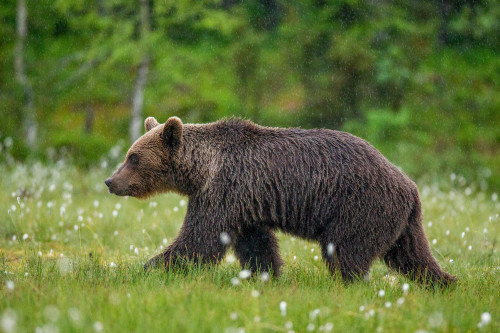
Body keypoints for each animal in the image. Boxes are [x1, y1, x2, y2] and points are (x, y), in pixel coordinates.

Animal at [106, 115, 458, 284]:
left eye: (133, 157)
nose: (111, 181)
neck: (202, 170)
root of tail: (410, 185)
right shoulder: (244, 203)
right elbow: (255, 244)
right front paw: (265, 276)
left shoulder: (222, 191)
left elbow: (198, 239)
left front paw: (146, 268)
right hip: (402, 221)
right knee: (413, 256)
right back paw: (446, 283)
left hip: (361, 206)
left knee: (346, 252)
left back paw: (348, 284)